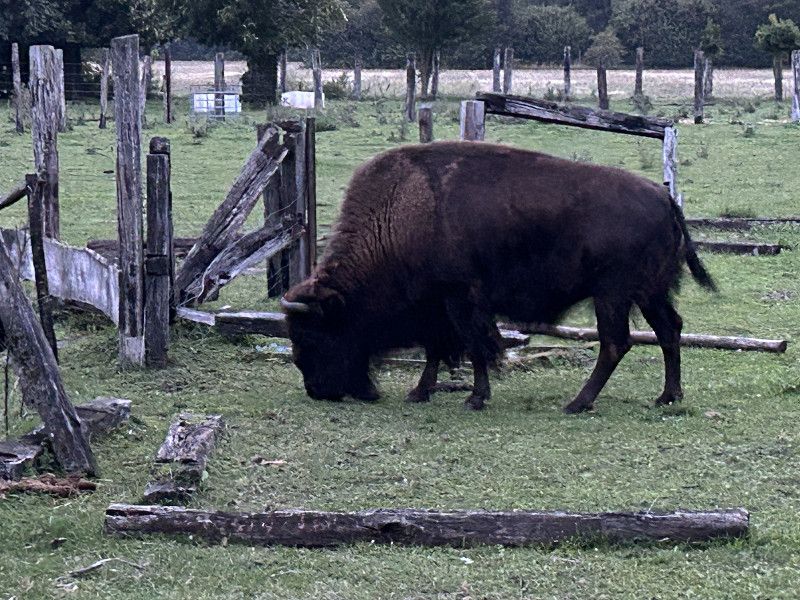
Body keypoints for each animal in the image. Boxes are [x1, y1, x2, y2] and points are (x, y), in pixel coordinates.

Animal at [282, 142, 715, 413]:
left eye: (313, 334)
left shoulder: (460, 299)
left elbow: (475, 345)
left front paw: (475, 398)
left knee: (615, 343)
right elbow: (437, 349)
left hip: (613, 294)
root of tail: (665, 197)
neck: (401, 213)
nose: (317, 391)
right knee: (669, 330)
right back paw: (667, 397)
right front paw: (420, 392)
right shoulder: (437, 308)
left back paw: (577, 403)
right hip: (649, 293)